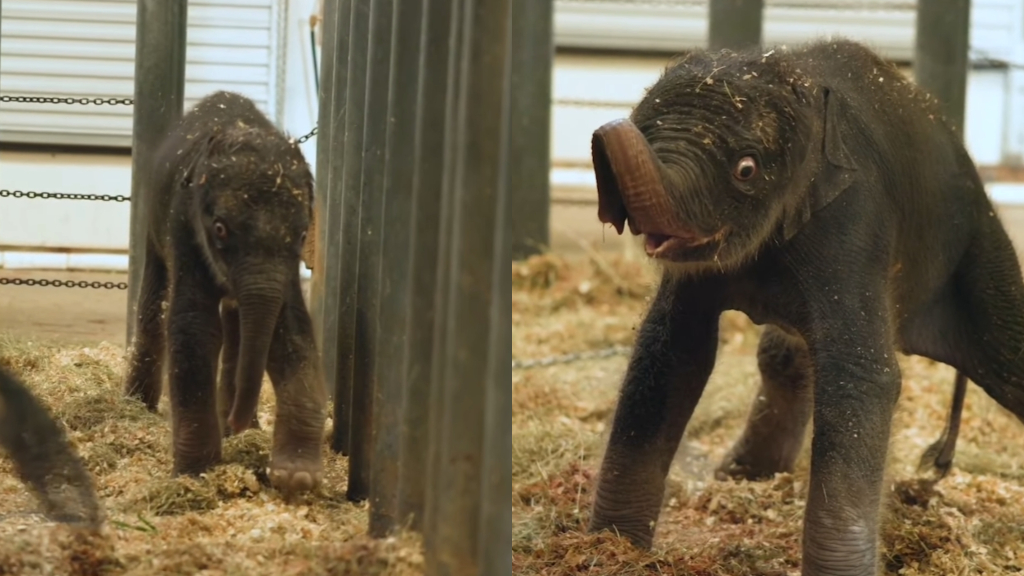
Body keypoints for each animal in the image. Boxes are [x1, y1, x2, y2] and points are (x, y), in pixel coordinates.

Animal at [123, 90, 327, 496]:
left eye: (301, 236)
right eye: (219, 229)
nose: (234, 423)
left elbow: (289, 328)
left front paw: (296, 477)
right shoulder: (183, 225)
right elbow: (193, 326)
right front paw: (197, 474)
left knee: (238, 329)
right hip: (153, 230)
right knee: (154, 307)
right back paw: (137, 406)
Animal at [587, 37, 1024, 575]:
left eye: (746, 169)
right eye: (645, 135)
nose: (609, 130)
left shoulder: (853, 218)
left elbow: (860, 375)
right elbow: (672, 354)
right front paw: (612, 547)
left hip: (979, 247)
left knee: (1009, 359)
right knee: (783, 355)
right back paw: (741, 472)